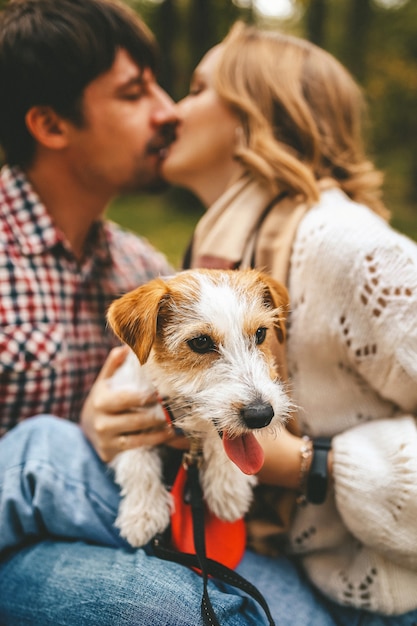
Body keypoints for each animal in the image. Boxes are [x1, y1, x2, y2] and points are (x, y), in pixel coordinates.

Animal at [105, 268, 290, 544]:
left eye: (260, 334)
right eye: (201, 342)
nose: (261, 415)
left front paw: (228, 488)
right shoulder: (126, 416)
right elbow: (136, 462)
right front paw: (144, 513)